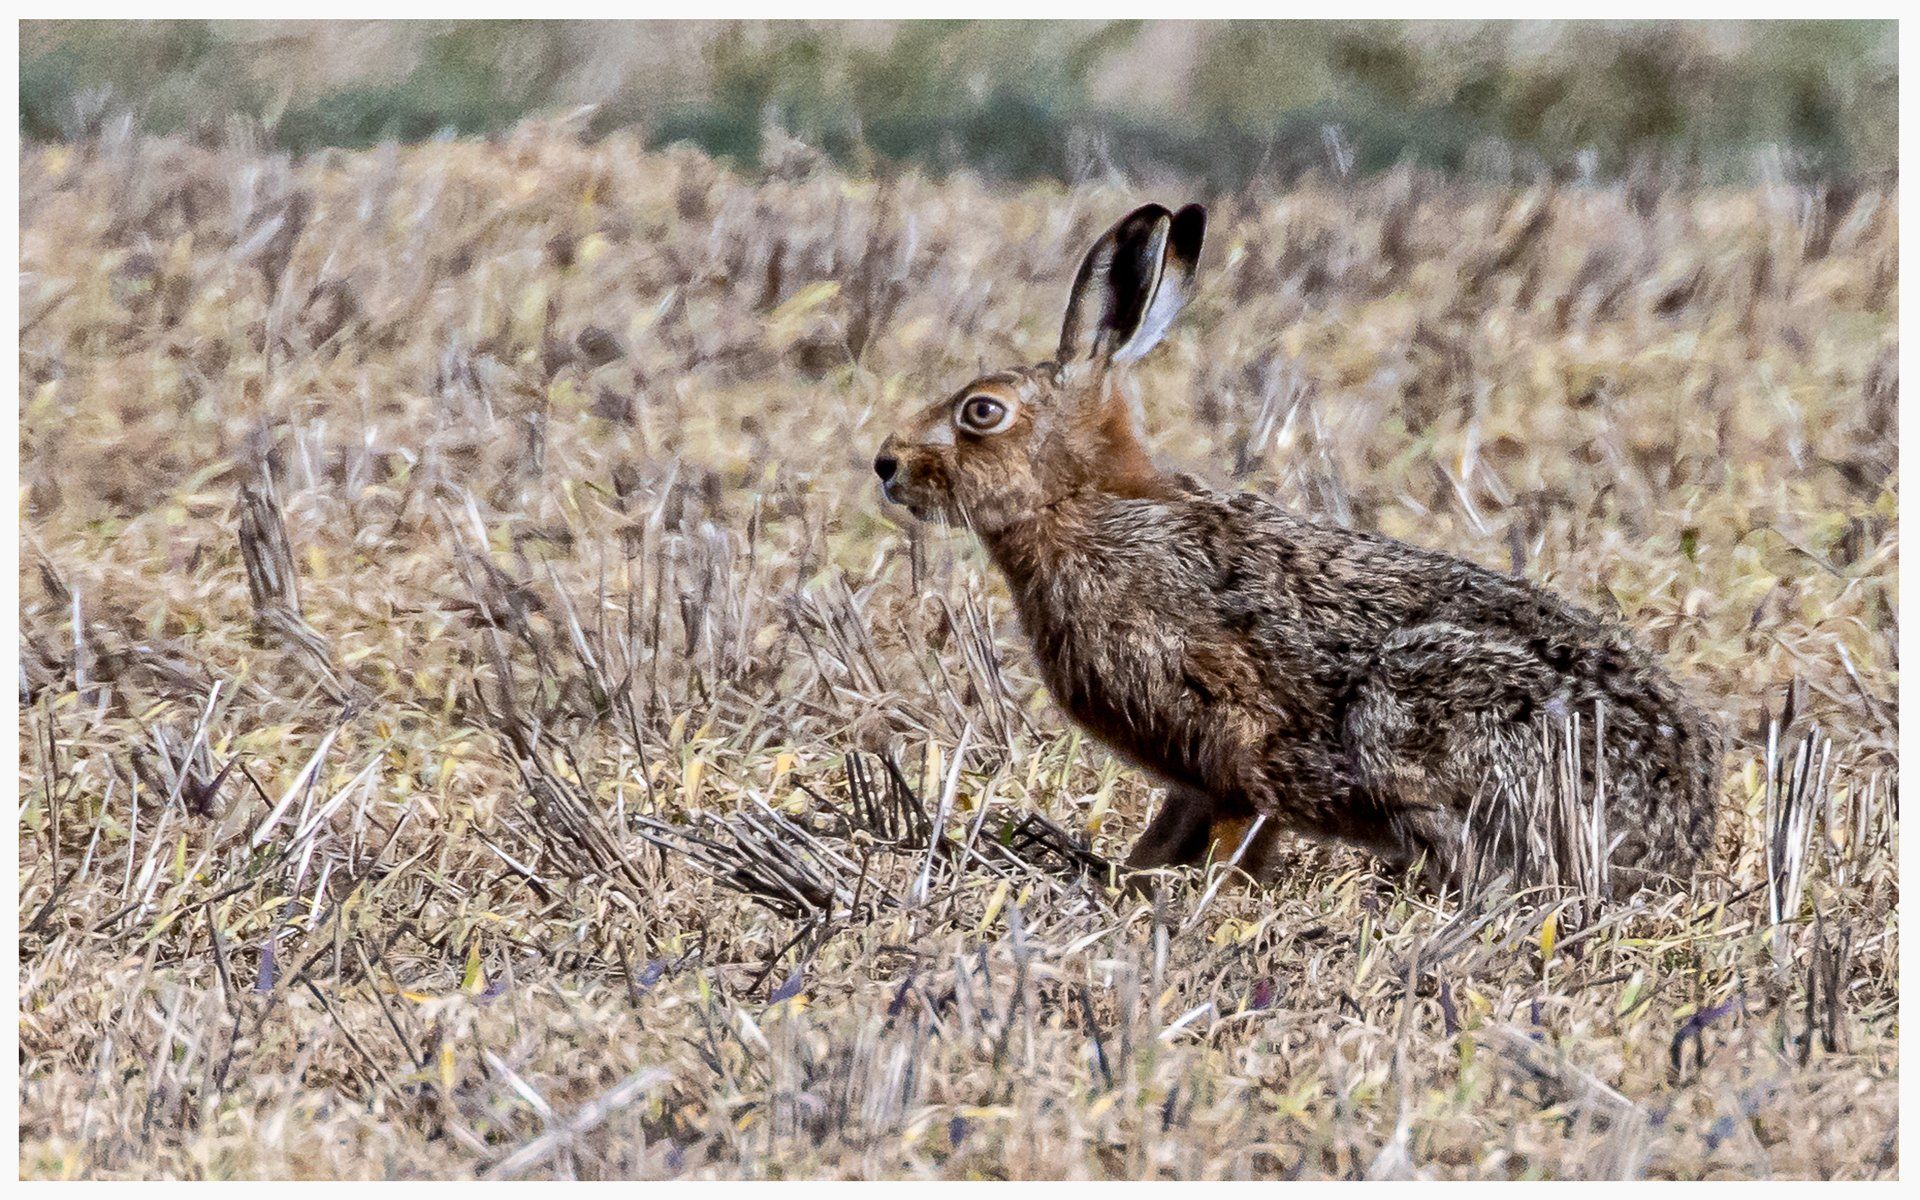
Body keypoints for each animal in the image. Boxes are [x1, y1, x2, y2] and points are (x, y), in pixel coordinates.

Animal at [873, 202, 1723, 895]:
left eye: (982, 412)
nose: (887, 465)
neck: (1077, 502)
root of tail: (1668, 843)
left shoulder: (1231, 734)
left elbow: (1239, 817)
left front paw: (1189, 890)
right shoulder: (1193, 772)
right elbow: (1177, 822)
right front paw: (1134, 874)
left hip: (1412, 712)